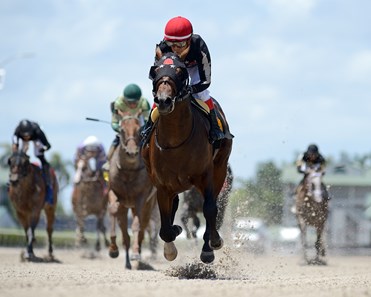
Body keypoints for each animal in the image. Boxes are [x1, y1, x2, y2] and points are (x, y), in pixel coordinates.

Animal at [109, 111, 158, 268]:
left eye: (139, 129)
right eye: (122, 130)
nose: (131, 153)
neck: (128, 172)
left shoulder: (141, 197)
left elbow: (137, 225)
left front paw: (136, 254)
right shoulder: (114, 191)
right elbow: (113, 210)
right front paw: (113, 249)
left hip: (149, 205)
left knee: (142, 227)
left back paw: (137, 258)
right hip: (125, 207)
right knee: (125, 233)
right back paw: (127, 262)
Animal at [142, 52, 232, 262]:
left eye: (180, 71)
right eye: (155, 70)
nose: (163, 100)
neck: (176, 140)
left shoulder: (206, 176)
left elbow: (210, 209)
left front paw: (212, 244)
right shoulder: (162, 185)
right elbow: (166, 226)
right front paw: (170, 246)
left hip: (220, 168)